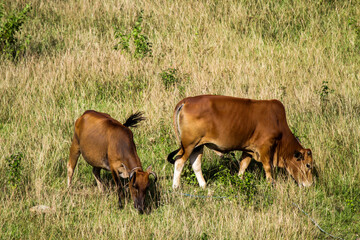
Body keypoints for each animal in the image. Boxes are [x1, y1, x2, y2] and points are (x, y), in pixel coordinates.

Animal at [167, 94, 314, 188]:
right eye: (308, 165)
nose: (310, 184)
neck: (278, 123)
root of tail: (187, 100)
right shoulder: (265, 148)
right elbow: (268, 167)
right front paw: (271, 184)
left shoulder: (249, 150)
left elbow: (243, 166)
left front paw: (239, 181)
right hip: (189, 145)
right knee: (179, 161)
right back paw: (176, 187)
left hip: (198, 145)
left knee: (195, 164)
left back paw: (203, 185)